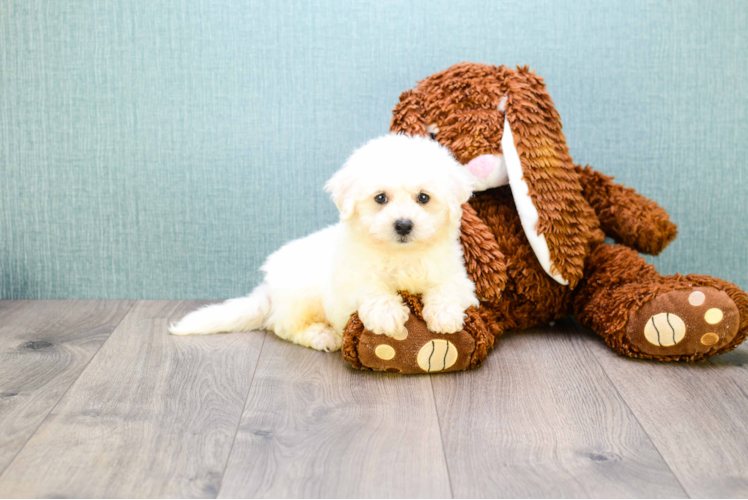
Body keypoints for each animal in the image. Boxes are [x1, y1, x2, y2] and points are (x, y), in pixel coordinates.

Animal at [168, 133, 480, 352]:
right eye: (380, 198)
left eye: (423, 198)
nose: (403, 225)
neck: (401, 253)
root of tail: (268, 291)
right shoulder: (349, 281)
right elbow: (370, 289)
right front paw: (387, 314)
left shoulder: (456, 275)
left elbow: (447, 289)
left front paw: (445, 317)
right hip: (302, 292)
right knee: (284, 325)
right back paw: (322, 335)